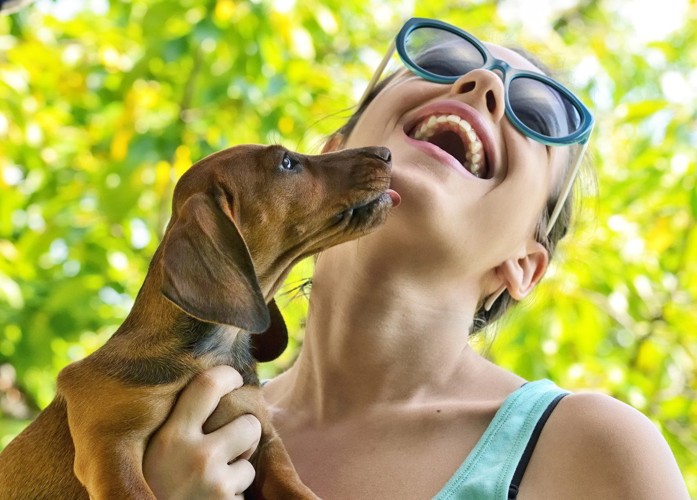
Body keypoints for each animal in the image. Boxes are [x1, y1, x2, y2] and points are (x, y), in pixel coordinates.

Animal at [0, 143, 396, 498]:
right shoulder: (109, 446)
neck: (208, 352)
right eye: (286, 163)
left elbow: (297, 488)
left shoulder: (264, 437)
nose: (386, 153)